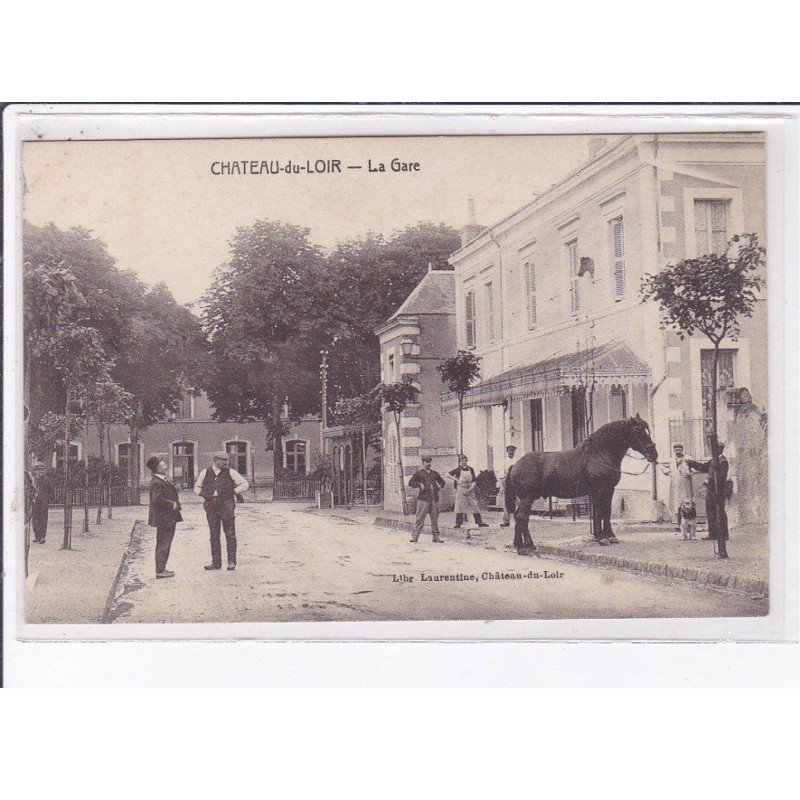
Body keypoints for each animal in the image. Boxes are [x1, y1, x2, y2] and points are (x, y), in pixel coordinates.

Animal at [506, 412, 656, 556]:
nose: (653, 453)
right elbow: (598, 512)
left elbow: (607, 511)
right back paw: (530, 547)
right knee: (522, 517)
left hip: (524, 499)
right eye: (636, 429)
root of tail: (515, 465)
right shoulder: (597, 491)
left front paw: (611, 536)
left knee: (517, 517)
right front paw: (601, 537)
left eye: (647, 428)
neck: (600, 454)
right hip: (527, 498)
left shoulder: (609, 490)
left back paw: (520, 546)